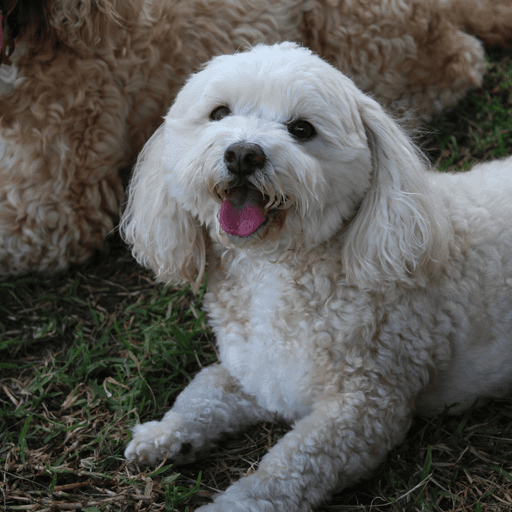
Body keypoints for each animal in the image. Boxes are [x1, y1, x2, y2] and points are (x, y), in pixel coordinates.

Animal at [121, 42, 512, 510]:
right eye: (219, 113)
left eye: (302, 129)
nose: (243, 154)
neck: (275, 267)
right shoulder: (261, 377)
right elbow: (204, 388)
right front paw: (165, 435)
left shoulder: (363, 407)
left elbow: (284, 469)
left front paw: (233, 503)